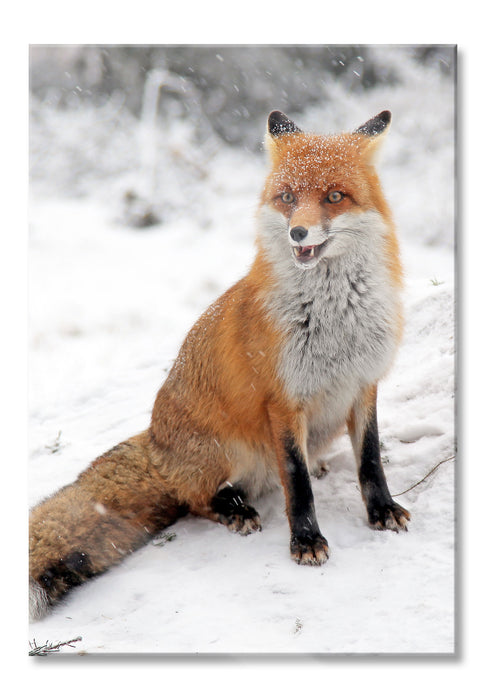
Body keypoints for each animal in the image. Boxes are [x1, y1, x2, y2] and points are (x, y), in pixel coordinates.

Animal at [29, 109, 410, 621]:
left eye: (334, 197)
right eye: (287, 198)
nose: (298, 232)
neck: (335, 321)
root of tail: (155, 442)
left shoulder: (364, 384)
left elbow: (369, 461)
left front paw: (382, 510)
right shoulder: (282, 402)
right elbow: (297, 484)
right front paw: (306, 540)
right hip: (229, 450)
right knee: (196, 499)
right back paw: (234, 509)